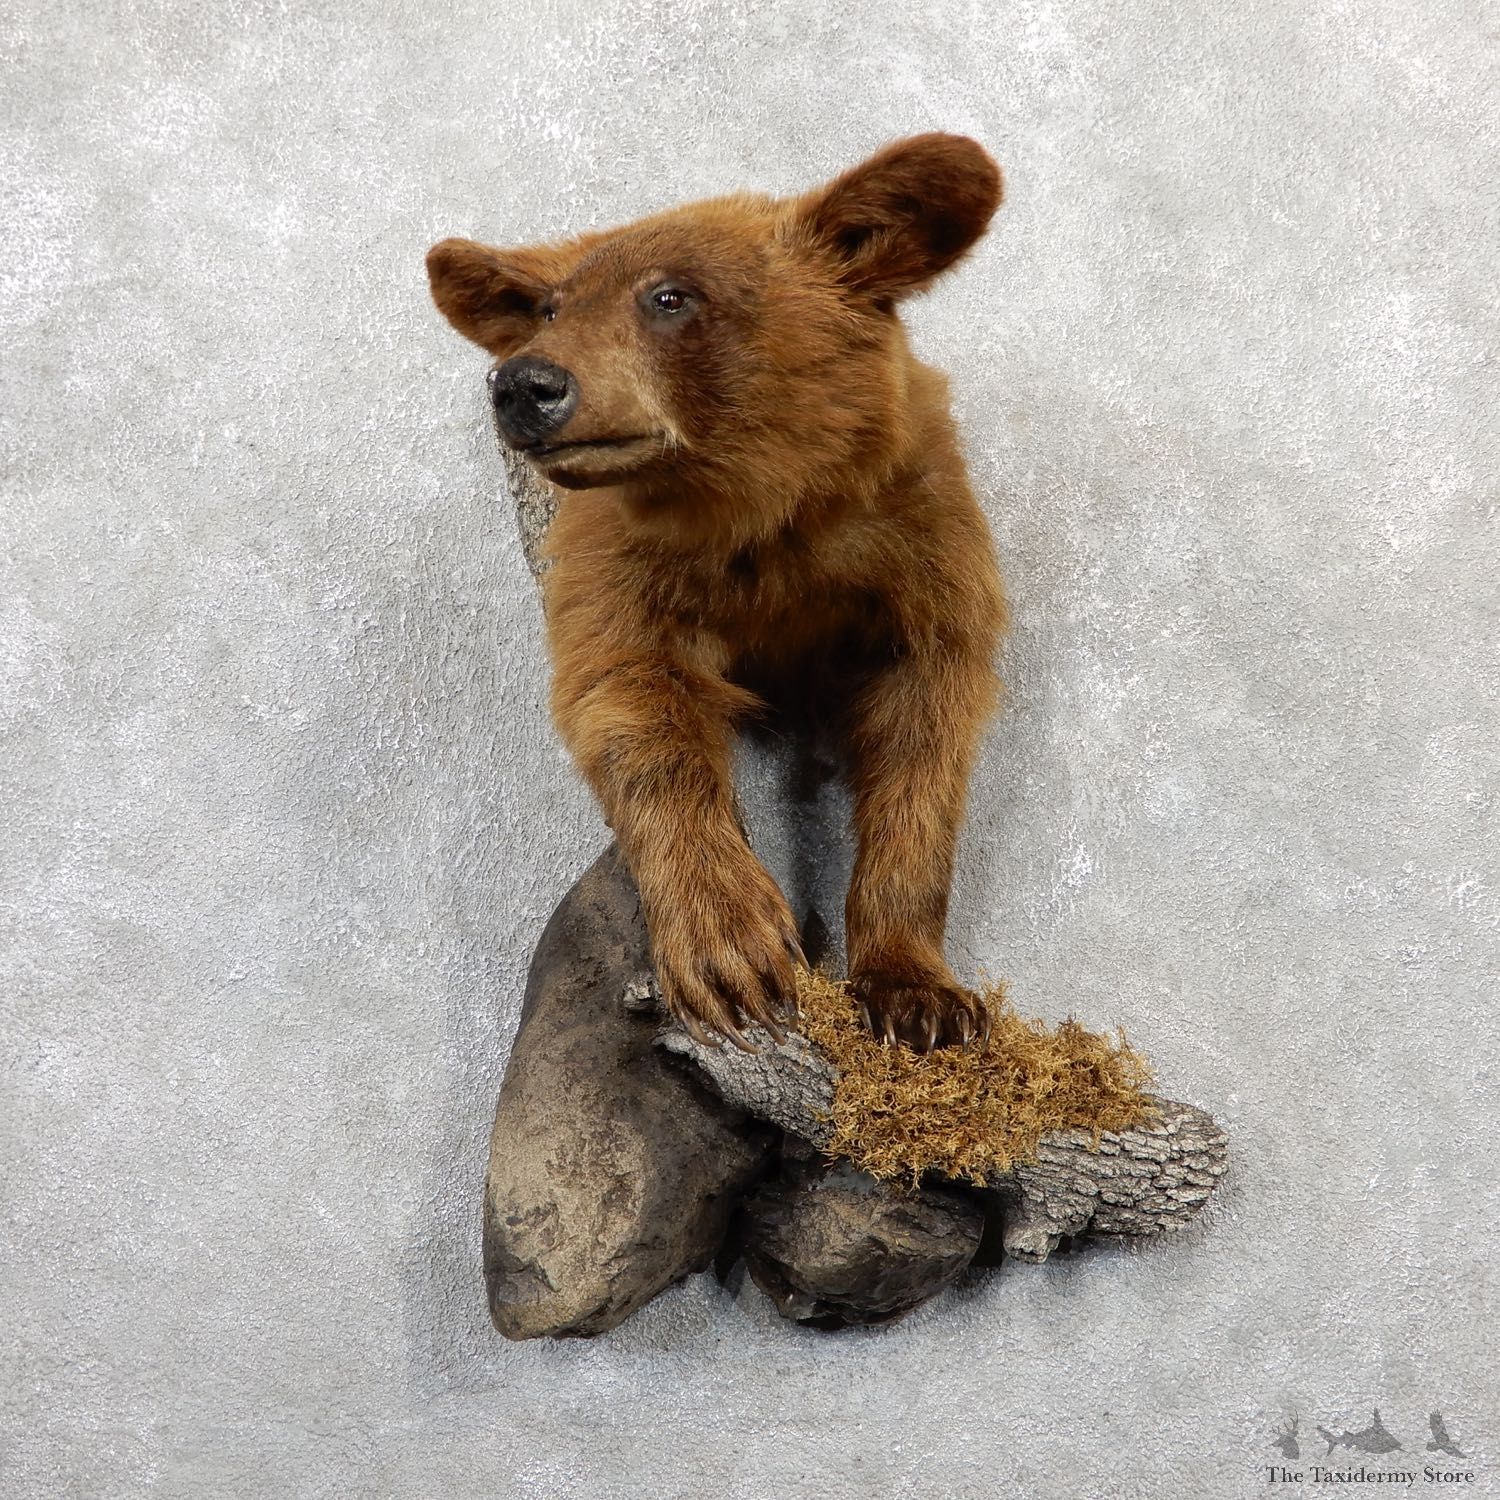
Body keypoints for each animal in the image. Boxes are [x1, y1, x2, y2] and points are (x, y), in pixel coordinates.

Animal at [427, 133, 1006, 1052]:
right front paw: (731, 949)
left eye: (670, 296)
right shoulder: (623, 562)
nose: (524, 385)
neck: (761, 511)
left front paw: (922, 995)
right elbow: (634, 703)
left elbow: (926, 729)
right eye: (553, 306)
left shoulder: (916, 543)